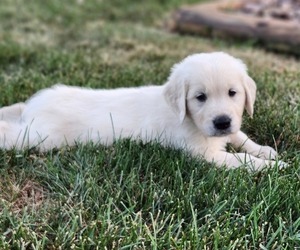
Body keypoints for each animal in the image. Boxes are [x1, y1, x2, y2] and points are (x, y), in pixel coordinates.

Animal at [0, 51, 286, 171]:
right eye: (200, 97)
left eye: (232, 93)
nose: (222, 122)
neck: (189, 120)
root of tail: (35, 106)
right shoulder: (203, 154)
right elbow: (241, 159)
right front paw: (274, 166)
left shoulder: (229, 130)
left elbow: (242, 138)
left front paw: (266, 151)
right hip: (40, 137)